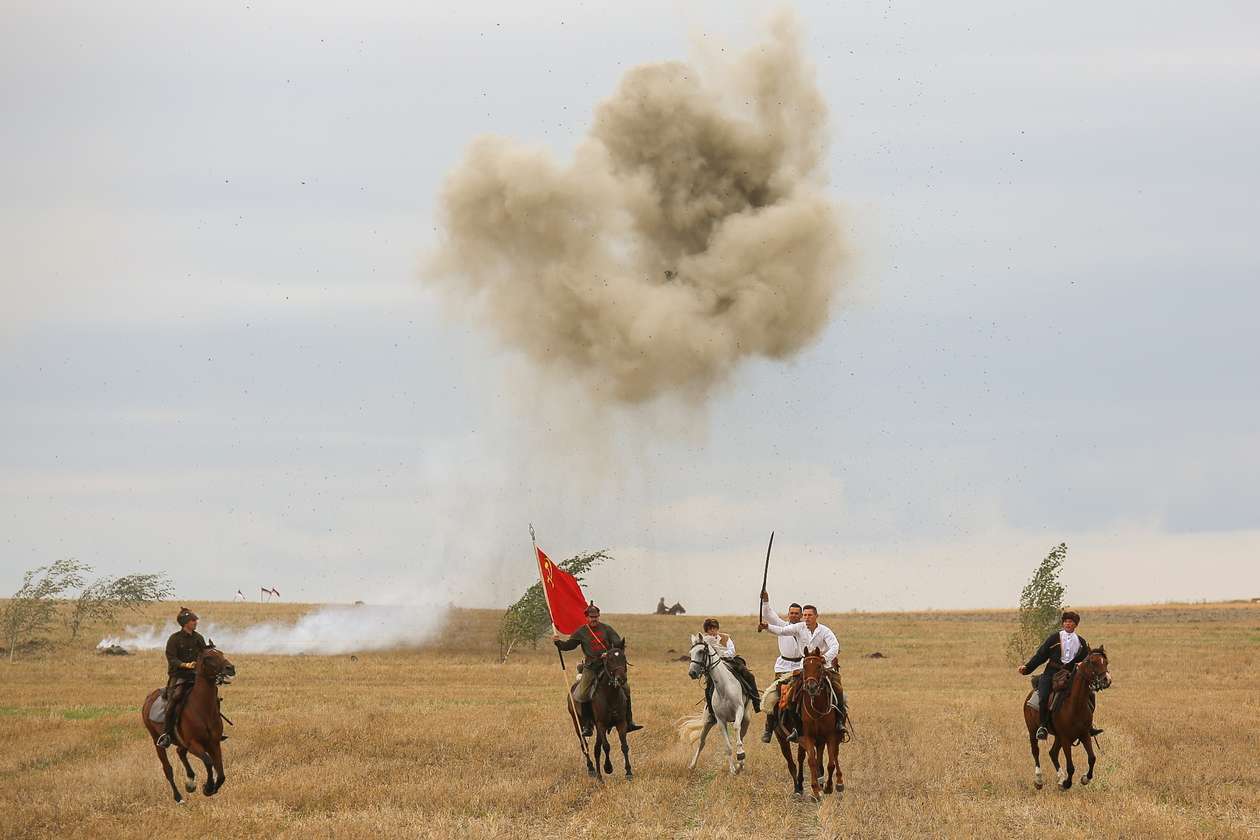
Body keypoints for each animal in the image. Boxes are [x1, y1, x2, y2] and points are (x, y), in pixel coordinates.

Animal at [141, 639, 235, 805]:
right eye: (208, 658)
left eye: (221, 653)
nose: (230, 668)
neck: (202, 708)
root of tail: (149, 698)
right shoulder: (194, 745)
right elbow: (208, 762)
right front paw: (208, 787)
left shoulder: (214, 743)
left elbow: (221, 773)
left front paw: (211, 787)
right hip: (157, 741)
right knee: (168, 769)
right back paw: (179, 797)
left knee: (180, 752)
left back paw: (190, 782)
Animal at [680, 629, 745, 775]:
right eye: (690, 653)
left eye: (701, 651)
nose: (692, 673)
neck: (724, 688)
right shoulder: (720, 720)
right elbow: (727, 747)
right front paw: (732, 770)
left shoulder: (739, 710)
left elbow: (736, 728)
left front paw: (740, 755)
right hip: (708, 721)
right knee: (701, 741)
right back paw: (692, 765)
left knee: (741, 734)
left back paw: (741, 762)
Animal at [1023, 649, 1113, 790]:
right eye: (1092, 662)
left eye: (1106, 662)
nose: (1107, 680)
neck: (1075, 705)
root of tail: (1030, 694)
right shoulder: (1065, 738)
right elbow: (1070, 766)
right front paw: (1067, 783)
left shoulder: (1084, 734)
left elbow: (1092, 758)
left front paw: (1085, 778)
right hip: (1033, 730)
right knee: (1035, 751)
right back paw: (1039, 780)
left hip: (1058, 737)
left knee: (1053, 753)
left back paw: (1060, 778)